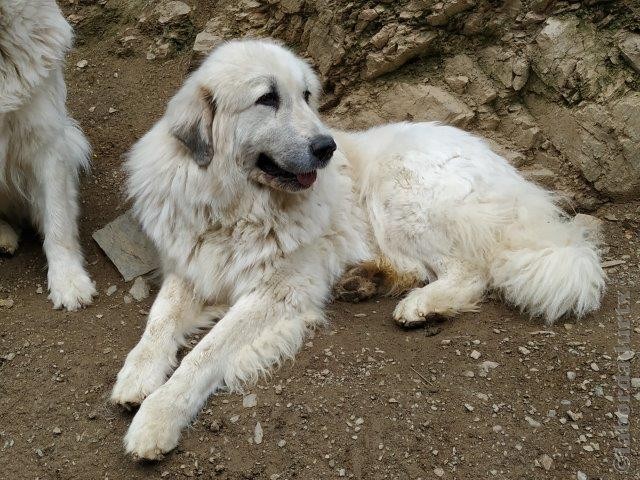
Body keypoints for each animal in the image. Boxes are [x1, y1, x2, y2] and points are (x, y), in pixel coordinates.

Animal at [111, 38, 604, 462]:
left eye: (306, 95)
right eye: (267, 99)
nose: (326, 147)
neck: (236, 206)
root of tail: (514, 177)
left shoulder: (279, 289)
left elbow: (206, 353)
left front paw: (158, 415)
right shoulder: (193, 266)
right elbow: (160, 319)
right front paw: (136, 375)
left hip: (398, 192)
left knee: (469, 269)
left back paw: (422, 305)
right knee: (417, 267)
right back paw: (367, 280)